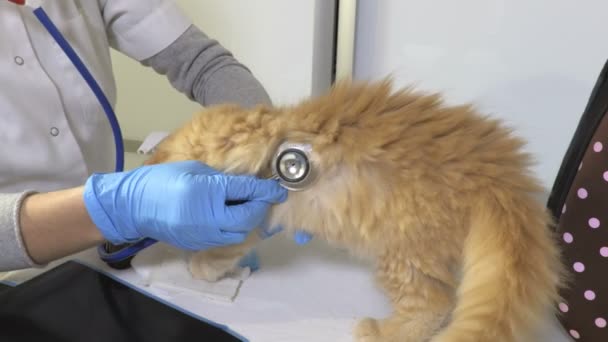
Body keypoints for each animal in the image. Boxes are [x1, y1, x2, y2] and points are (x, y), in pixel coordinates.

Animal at [142, 79, 564, 340]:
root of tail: (498, 173)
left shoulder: (244, 193)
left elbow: (219, 250)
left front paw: (200, 267)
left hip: (403, 253)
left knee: (435, 305)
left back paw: (381, 333)